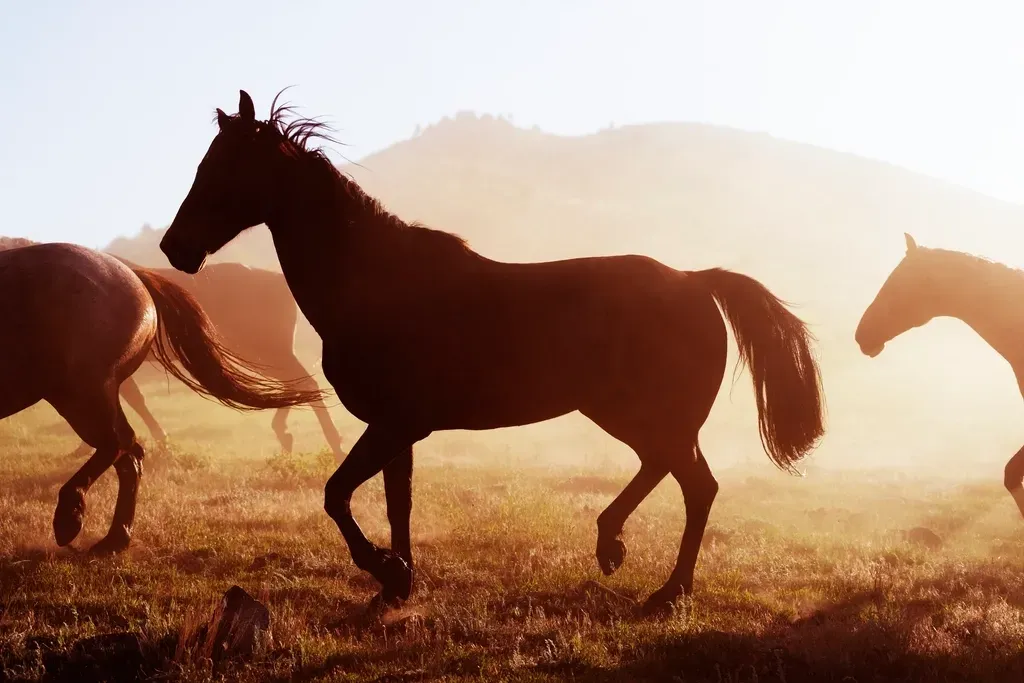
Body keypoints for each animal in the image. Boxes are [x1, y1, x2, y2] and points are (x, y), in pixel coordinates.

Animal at [0, 241, 325, 554]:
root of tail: (134, 276)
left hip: (82, 393)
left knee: (120, 445)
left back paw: (71, 518)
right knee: (128, 454)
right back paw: (114, 538)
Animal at [158, 90, 826, 615]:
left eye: (224, 168)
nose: (173, 247)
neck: (376, 284)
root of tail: (694, 281)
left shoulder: (396, 423)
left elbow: (336, 495)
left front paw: (386, 570)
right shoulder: (398, 428)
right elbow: (396, 504)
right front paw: (397, 582)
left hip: (645, 415)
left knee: (696, 485)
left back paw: (660, 585)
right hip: (629, 415)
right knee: (671, 473)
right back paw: (619, 550)